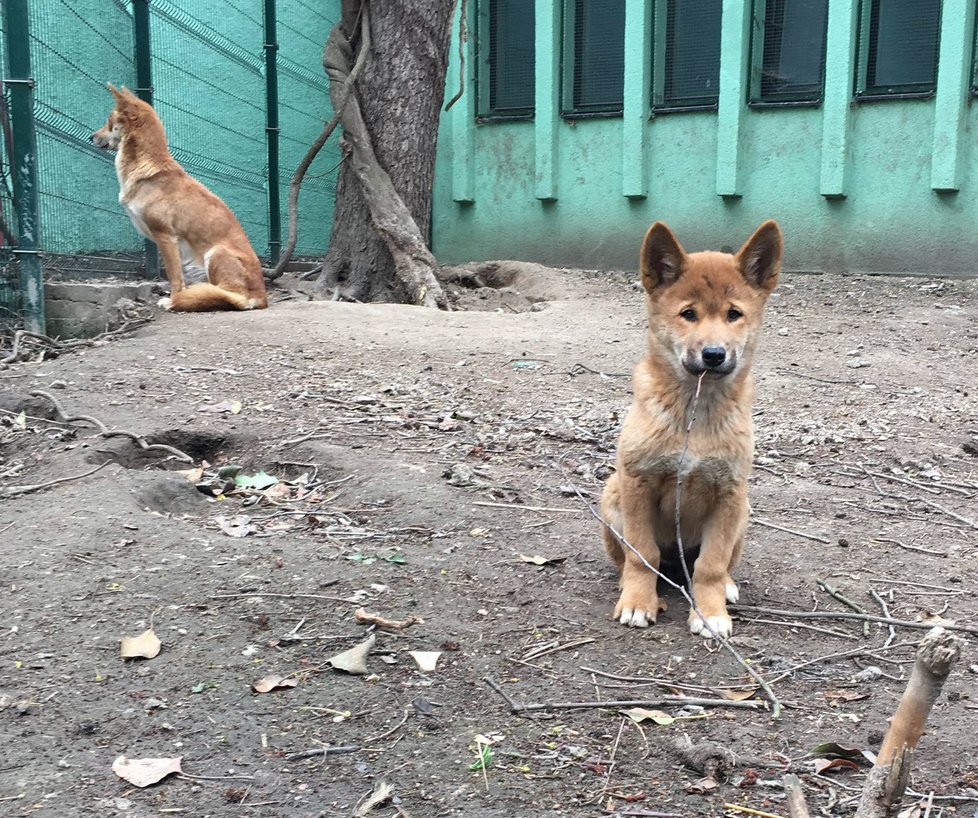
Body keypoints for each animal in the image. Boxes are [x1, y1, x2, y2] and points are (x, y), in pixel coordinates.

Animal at [92, 84, 266, 310]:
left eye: (109, 122)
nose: (91, 137)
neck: (147, 169)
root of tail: (262, 296)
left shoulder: (165, 237)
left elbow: (174, 277)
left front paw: (174, 300)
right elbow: (178, 277)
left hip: (215, 253)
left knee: (232, 295)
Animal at [600, 222, 780, 636]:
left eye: (734, 314)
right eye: (688, 314)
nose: (714, 354)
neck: (695, 414)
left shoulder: (729, 494)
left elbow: (710, 565)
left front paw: (710, 611)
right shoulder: (638, 483)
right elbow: (642, 555)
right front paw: (638, 602)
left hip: (743, 511)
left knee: (716, 565)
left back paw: (726, 587)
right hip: (612, 495)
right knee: (630, 560)